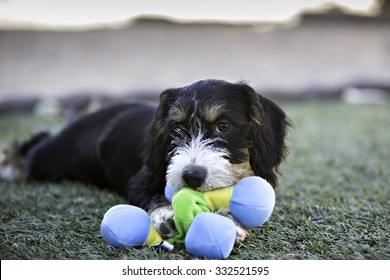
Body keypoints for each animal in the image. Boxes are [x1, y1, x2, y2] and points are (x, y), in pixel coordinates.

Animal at [0, 79, 292, 243]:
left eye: (223, 126)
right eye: (176, 129)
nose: (192, 176)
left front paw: (231, 222)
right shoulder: (140, 181)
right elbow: (153, 197)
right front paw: (167, 216)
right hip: (51, 160)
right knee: (34, 147)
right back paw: (10, 165)